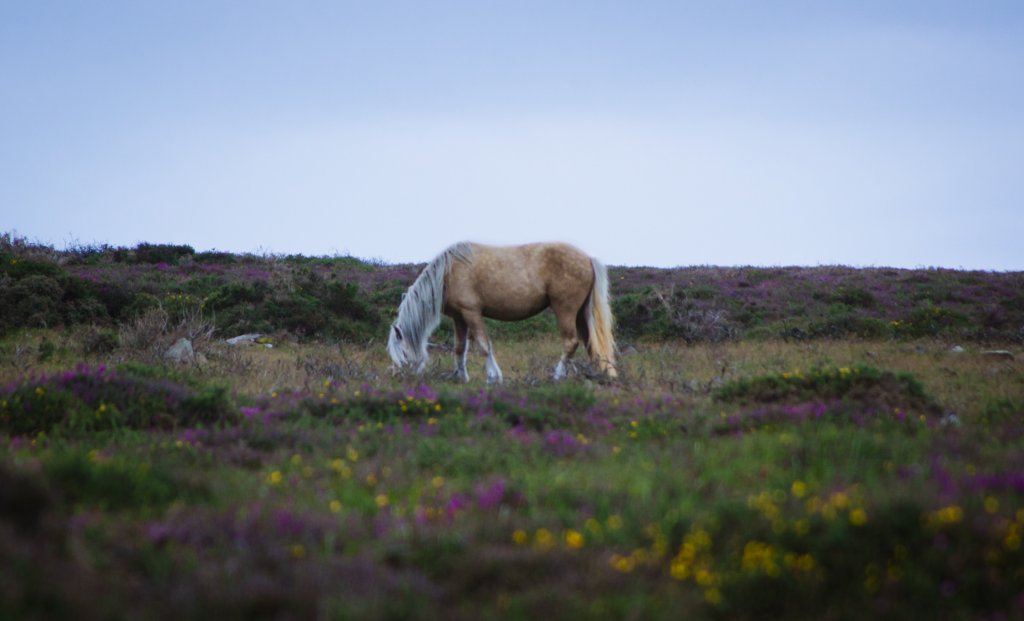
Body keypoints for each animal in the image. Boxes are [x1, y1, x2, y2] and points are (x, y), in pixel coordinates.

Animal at [387, 241, 617, 383]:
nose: (399, 377)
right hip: (580, 315)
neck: (448, 272)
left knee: (571, 342)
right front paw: (461, 377)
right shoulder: (459, 318)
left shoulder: (471, 313)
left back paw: (558, 376)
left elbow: (483, 345)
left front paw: (493, 377)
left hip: (565, 310)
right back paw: (596, 375)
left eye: (403, 353)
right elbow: (460, 348)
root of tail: (588, 258)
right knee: (590, 343)